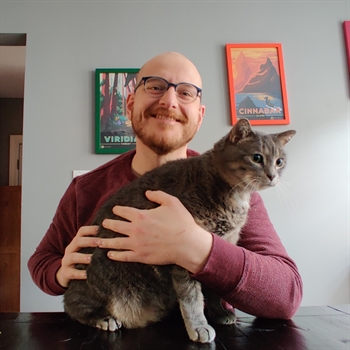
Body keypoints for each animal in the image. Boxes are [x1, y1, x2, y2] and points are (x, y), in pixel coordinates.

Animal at [63, 119, 296, 344]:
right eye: (257, 158)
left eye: (279, 162)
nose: (272, 176)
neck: (236, 197)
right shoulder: (180, 255)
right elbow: (192, 298)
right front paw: (199, 327)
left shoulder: (220, 247)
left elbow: (214, 290)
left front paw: (219, 313)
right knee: (73, 305)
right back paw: (104, 318)